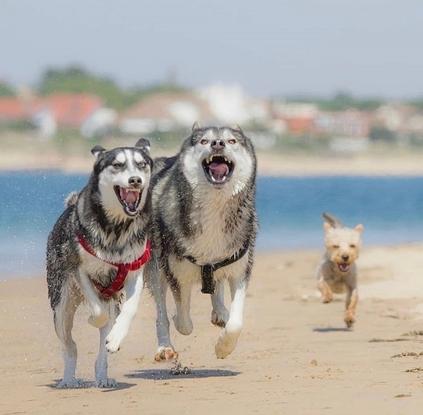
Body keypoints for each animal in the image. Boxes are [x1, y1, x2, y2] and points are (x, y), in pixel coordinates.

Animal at [46, 140, 152, 390]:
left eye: (141, 164)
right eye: (117, 165)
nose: (135, 180)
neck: (116, 228)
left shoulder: (134, 271)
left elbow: (129, 310)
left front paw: (115, 337)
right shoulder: (79, 269)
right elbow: (97, 309)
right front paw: (93, 319)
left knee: (103, 346)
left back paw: (103, 376)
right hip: (61, 303)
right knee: (70, 345)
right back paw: (68, 379)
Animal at [146, 123, 258, 360]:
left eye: (232, 140)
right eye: (204, 141)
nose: (218, 143)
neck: (214, 206)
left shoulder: (239, 269)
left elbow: (236, 322)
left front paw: (224, 346)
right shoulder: (176, 272)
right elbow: (183, 320)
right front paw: (179, 321)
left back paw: (220, 312)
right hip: (155, 267)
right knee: (161, 311)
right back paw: (165, 346)